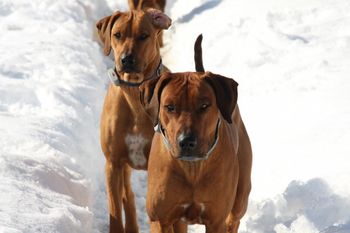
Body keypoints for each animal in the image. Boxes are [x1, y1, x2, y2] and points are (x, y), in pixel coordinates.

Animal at [96, 8, 172, 232]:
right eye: (117, 34)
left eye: (144, 35)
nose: (127, 59)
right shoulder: (113, 164)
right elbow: (115, 208)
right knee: (127, 194)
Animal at [139, 37, 252, 232]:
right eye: (169, 107)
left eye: (204, 106)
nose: (186, 142)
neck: (192, 168)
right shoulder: (160, 219)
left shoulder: (216, 221)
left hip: (241, 194)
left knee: (234, 218)